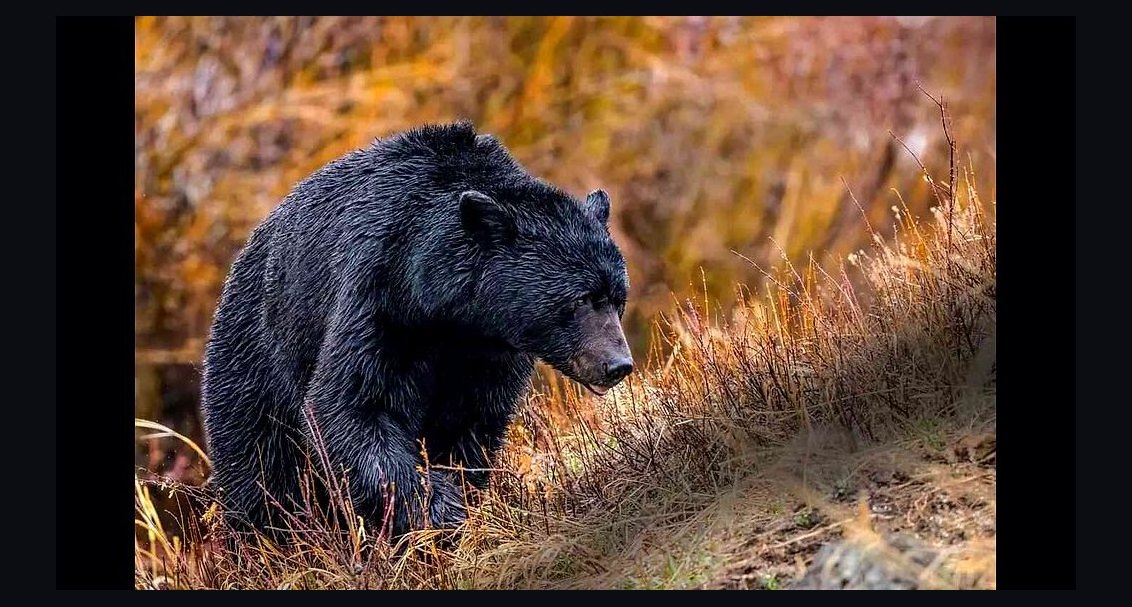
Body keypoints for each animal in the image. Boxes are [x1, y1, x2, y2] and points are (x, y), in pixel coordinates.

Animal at [200, 121, 634, 539]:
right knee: (260, 467)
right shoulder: (382, 300)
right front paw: (438, 505)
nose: (617, 364)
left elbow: (471, 424)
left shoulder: (488, 355)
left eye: (618, 298)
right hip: (255, 359)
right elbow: (350, 405)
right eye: (581, 299)